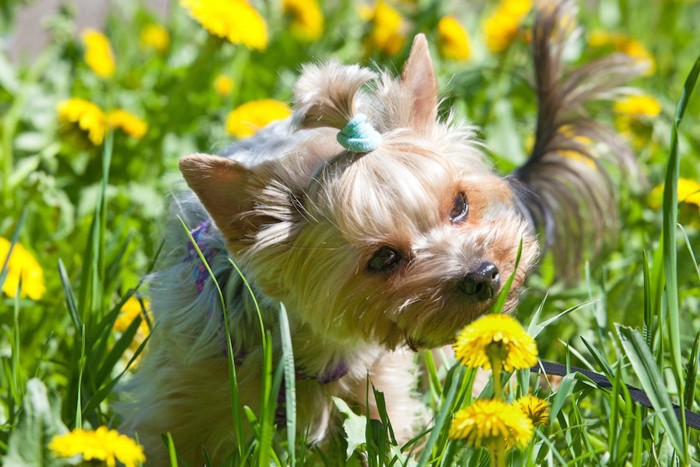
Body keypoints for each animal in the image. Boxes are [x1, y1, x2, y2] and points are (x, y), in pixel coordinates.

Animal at [119, 2, 640, 464]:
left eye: (459, 205)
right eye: (383, 258)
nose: (484, 273)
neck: (302, 345)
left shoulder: (380, 391)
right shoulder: (181, 398)